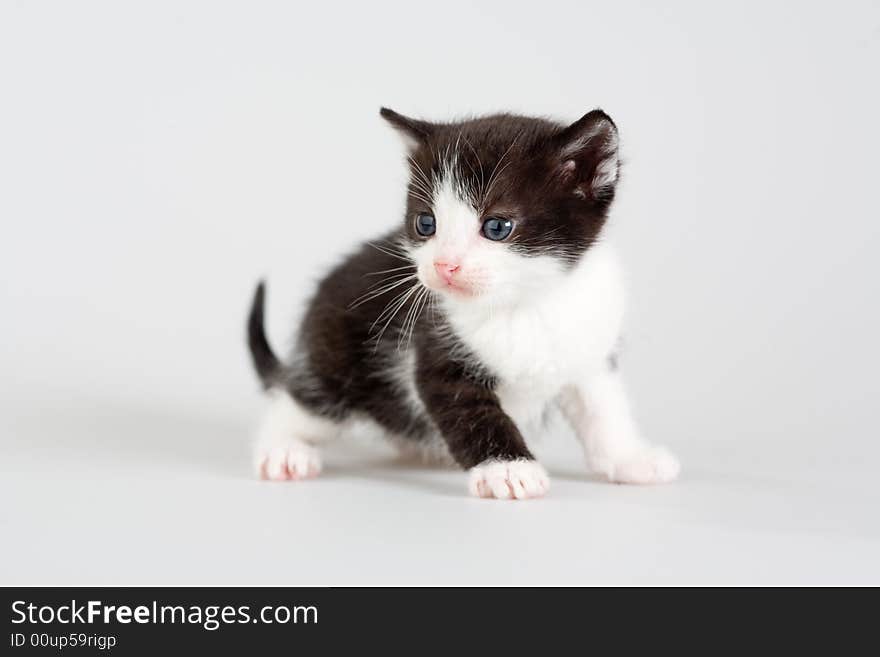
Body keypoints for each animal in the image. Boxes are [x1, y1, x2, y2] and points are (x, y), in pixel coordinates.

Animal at [248, 106, 680, 498]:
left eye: (497, 226)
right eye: (426, 223)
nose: (444, 265)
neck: (524, 305)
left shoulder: (591, 350)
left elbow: (604, 410)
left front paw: (630, 459)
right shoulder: (436, 351)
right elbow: (475, 416)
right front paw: (509, 470)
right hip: (335, 355)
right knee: (305, 399)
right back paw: (283, 450)